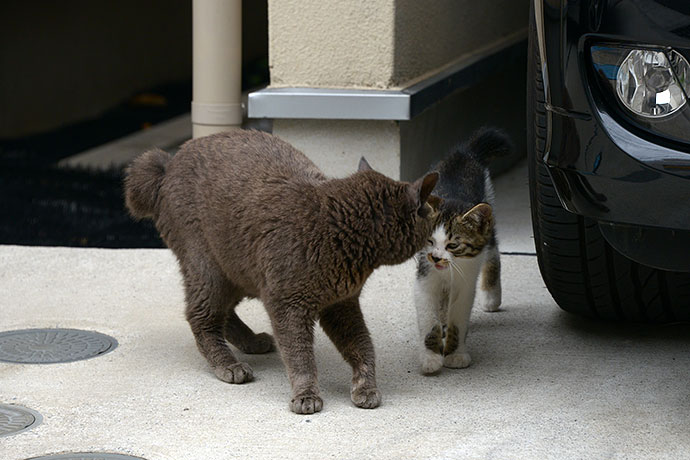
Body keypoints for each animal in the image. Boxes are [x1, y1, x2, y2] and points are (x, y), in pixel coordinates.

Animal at [123, 128, 436, 414]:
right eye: (430, 210)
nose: (437, 217)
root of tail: (168, 164)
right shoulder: (288, 304)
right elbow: (299, 355)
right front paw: (306, 396)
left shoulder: (341, 303)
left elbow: (361, 344)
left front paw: (366, 387)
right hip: (207, 267)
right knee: (201, 316)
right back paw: (230, 365)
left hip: (239, 271)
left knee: (225, 313)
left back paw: (252, 341)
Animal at [412, 126, 508, 374]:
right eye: (429, 241)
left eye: (453, 245)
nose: (436, 257)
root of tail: (464, 153)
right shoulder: (425, 277)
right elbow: (428, 317)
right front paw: (430, 357)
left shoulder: (466, 282)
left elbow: (459, 316)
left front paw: (455, 355)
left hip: (488, 219)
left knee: (492, 252)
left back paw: (491, 297)